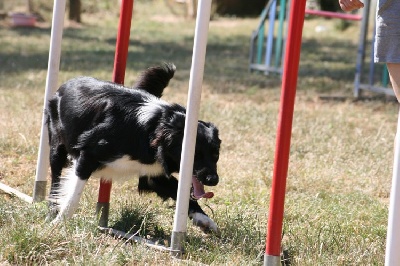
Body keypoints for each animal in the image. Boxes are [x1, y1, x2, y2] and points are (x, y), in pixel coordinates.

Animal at [47, 62, 222, 233]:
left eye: (216, 155)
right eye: (194, 155)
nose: (213, 180)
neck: (154, 127)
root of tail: (66, 84)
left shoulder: (154, 173)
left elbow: (180, 193)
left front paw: (204, 220)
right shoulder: (89, 154)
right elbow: (73, 194)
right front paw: (59, 222)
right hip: (57, 147)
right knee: (55, 177)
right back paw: (52, 209)